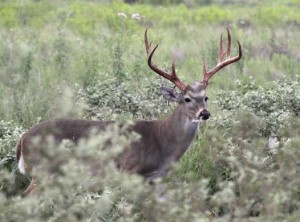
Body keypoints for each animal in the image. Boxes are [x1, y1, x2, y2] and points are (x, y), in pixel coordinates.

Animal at [15, 28, 241, 196]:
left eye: (205, 97)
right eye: (186, 99)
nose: (204, 114)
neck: (163, 142)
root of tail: (22, 139)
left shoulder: (156, 179)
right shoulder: (128, 171)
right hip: (44, 173)